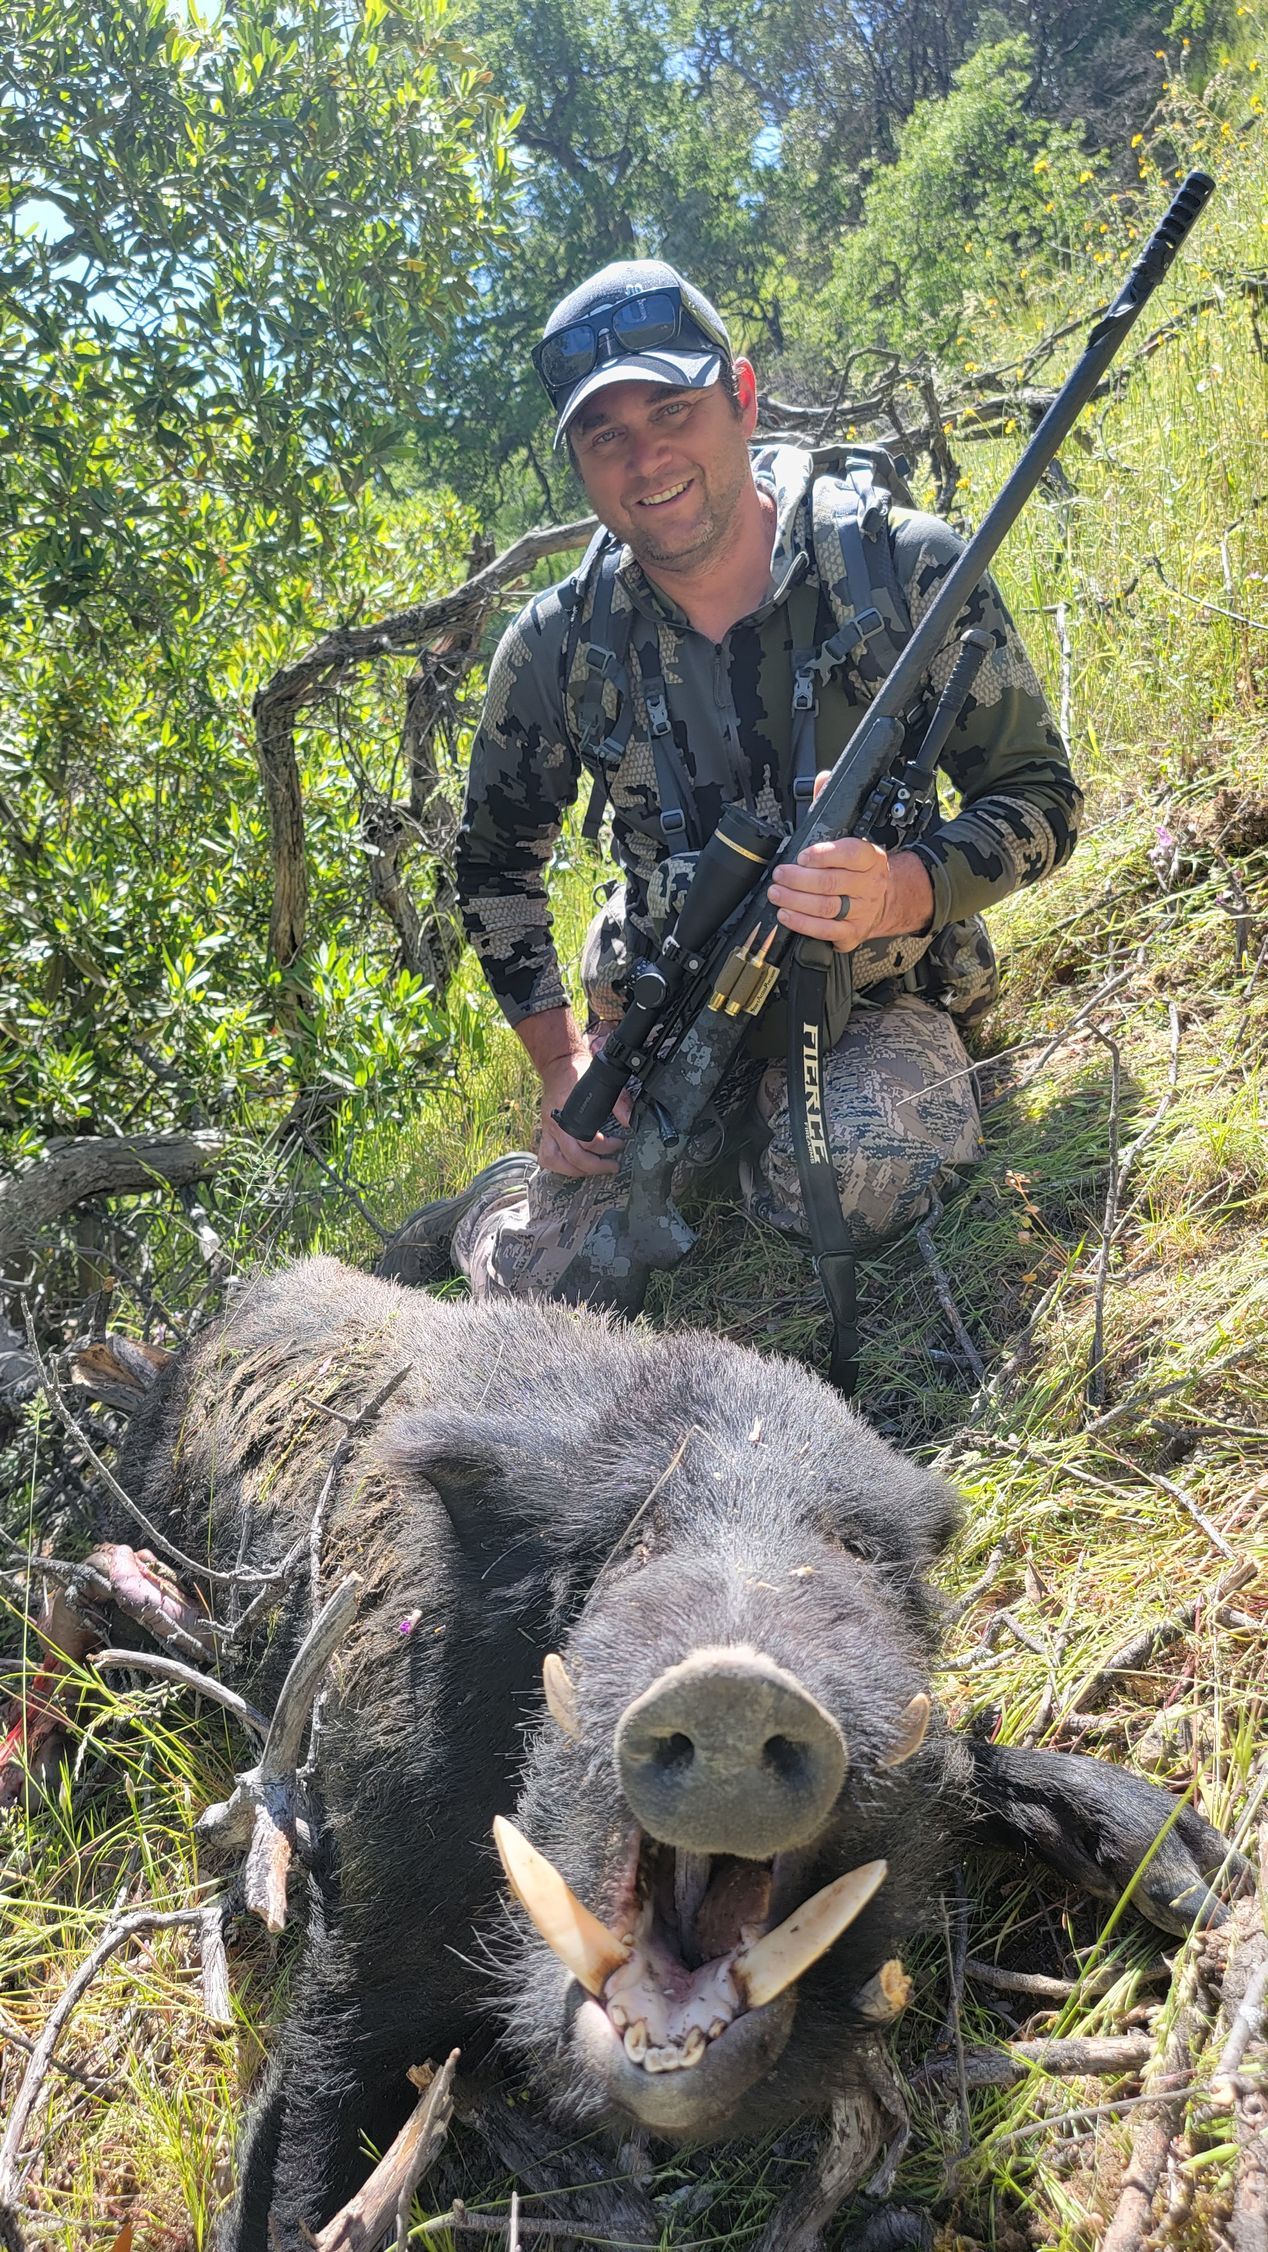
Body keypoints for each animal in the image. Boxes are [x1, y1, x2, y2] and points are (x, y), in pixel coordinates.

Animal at [108, 1256, 1236, 2249]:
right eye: (631, 1547)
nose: (734, 1678)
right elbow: (304, 2122)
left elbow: (963, 1761)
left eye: (855, 1551)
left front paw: (1204, 1885)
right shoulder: (375, 1889)